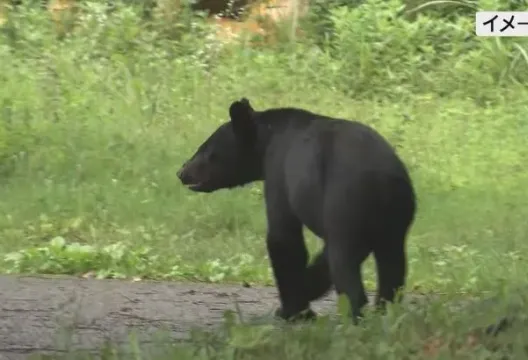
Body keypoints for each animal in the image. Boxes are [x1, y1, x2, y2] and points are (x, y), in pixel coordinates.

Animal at [177, 98, 416, 324]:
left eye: (206, 149)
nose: (182, 172)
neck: (269, 137)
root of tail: (383, 181)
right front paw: (306, 291)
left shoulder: (278, 171)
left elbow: (283, 238)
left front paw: (293, 310)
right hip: (395, 220)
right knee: (392, 268)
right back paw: (385, 312)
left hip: (346, 204)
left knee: (345, 264)